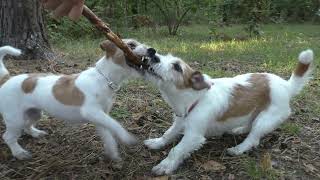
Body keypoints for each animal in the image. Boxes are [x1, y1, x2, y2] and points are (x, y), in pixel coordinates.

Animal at [0, 40, 155, 161]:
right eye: (131, 45)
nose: (152, 50)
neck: (103, 78)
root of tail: (7, 79)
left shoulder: (101, 117)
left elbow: (108, 135)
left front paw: (113, 154)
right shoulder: (92, 112)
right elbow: (115, 124)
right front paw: (126, 137)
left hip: (34, 113)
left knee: (26, 126)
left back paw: (35, 133)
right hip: (15, 119)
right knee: (8, 137)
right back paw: (19, 153)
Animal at [142, 48, 312, 174]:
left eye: (177, 67)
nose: (153, 55)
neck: (194, 97)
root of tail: (286, 85)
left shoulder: (193, 135)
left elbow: (176, 150)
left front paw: (165, 165)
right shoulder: (180, 121)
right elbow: (168, 134)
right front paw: (157, 142)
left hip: (265, 120)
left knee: (253, 138)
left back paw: (238, 149)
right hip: (256, 113)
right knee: (249, 124)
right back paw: (239, 129)